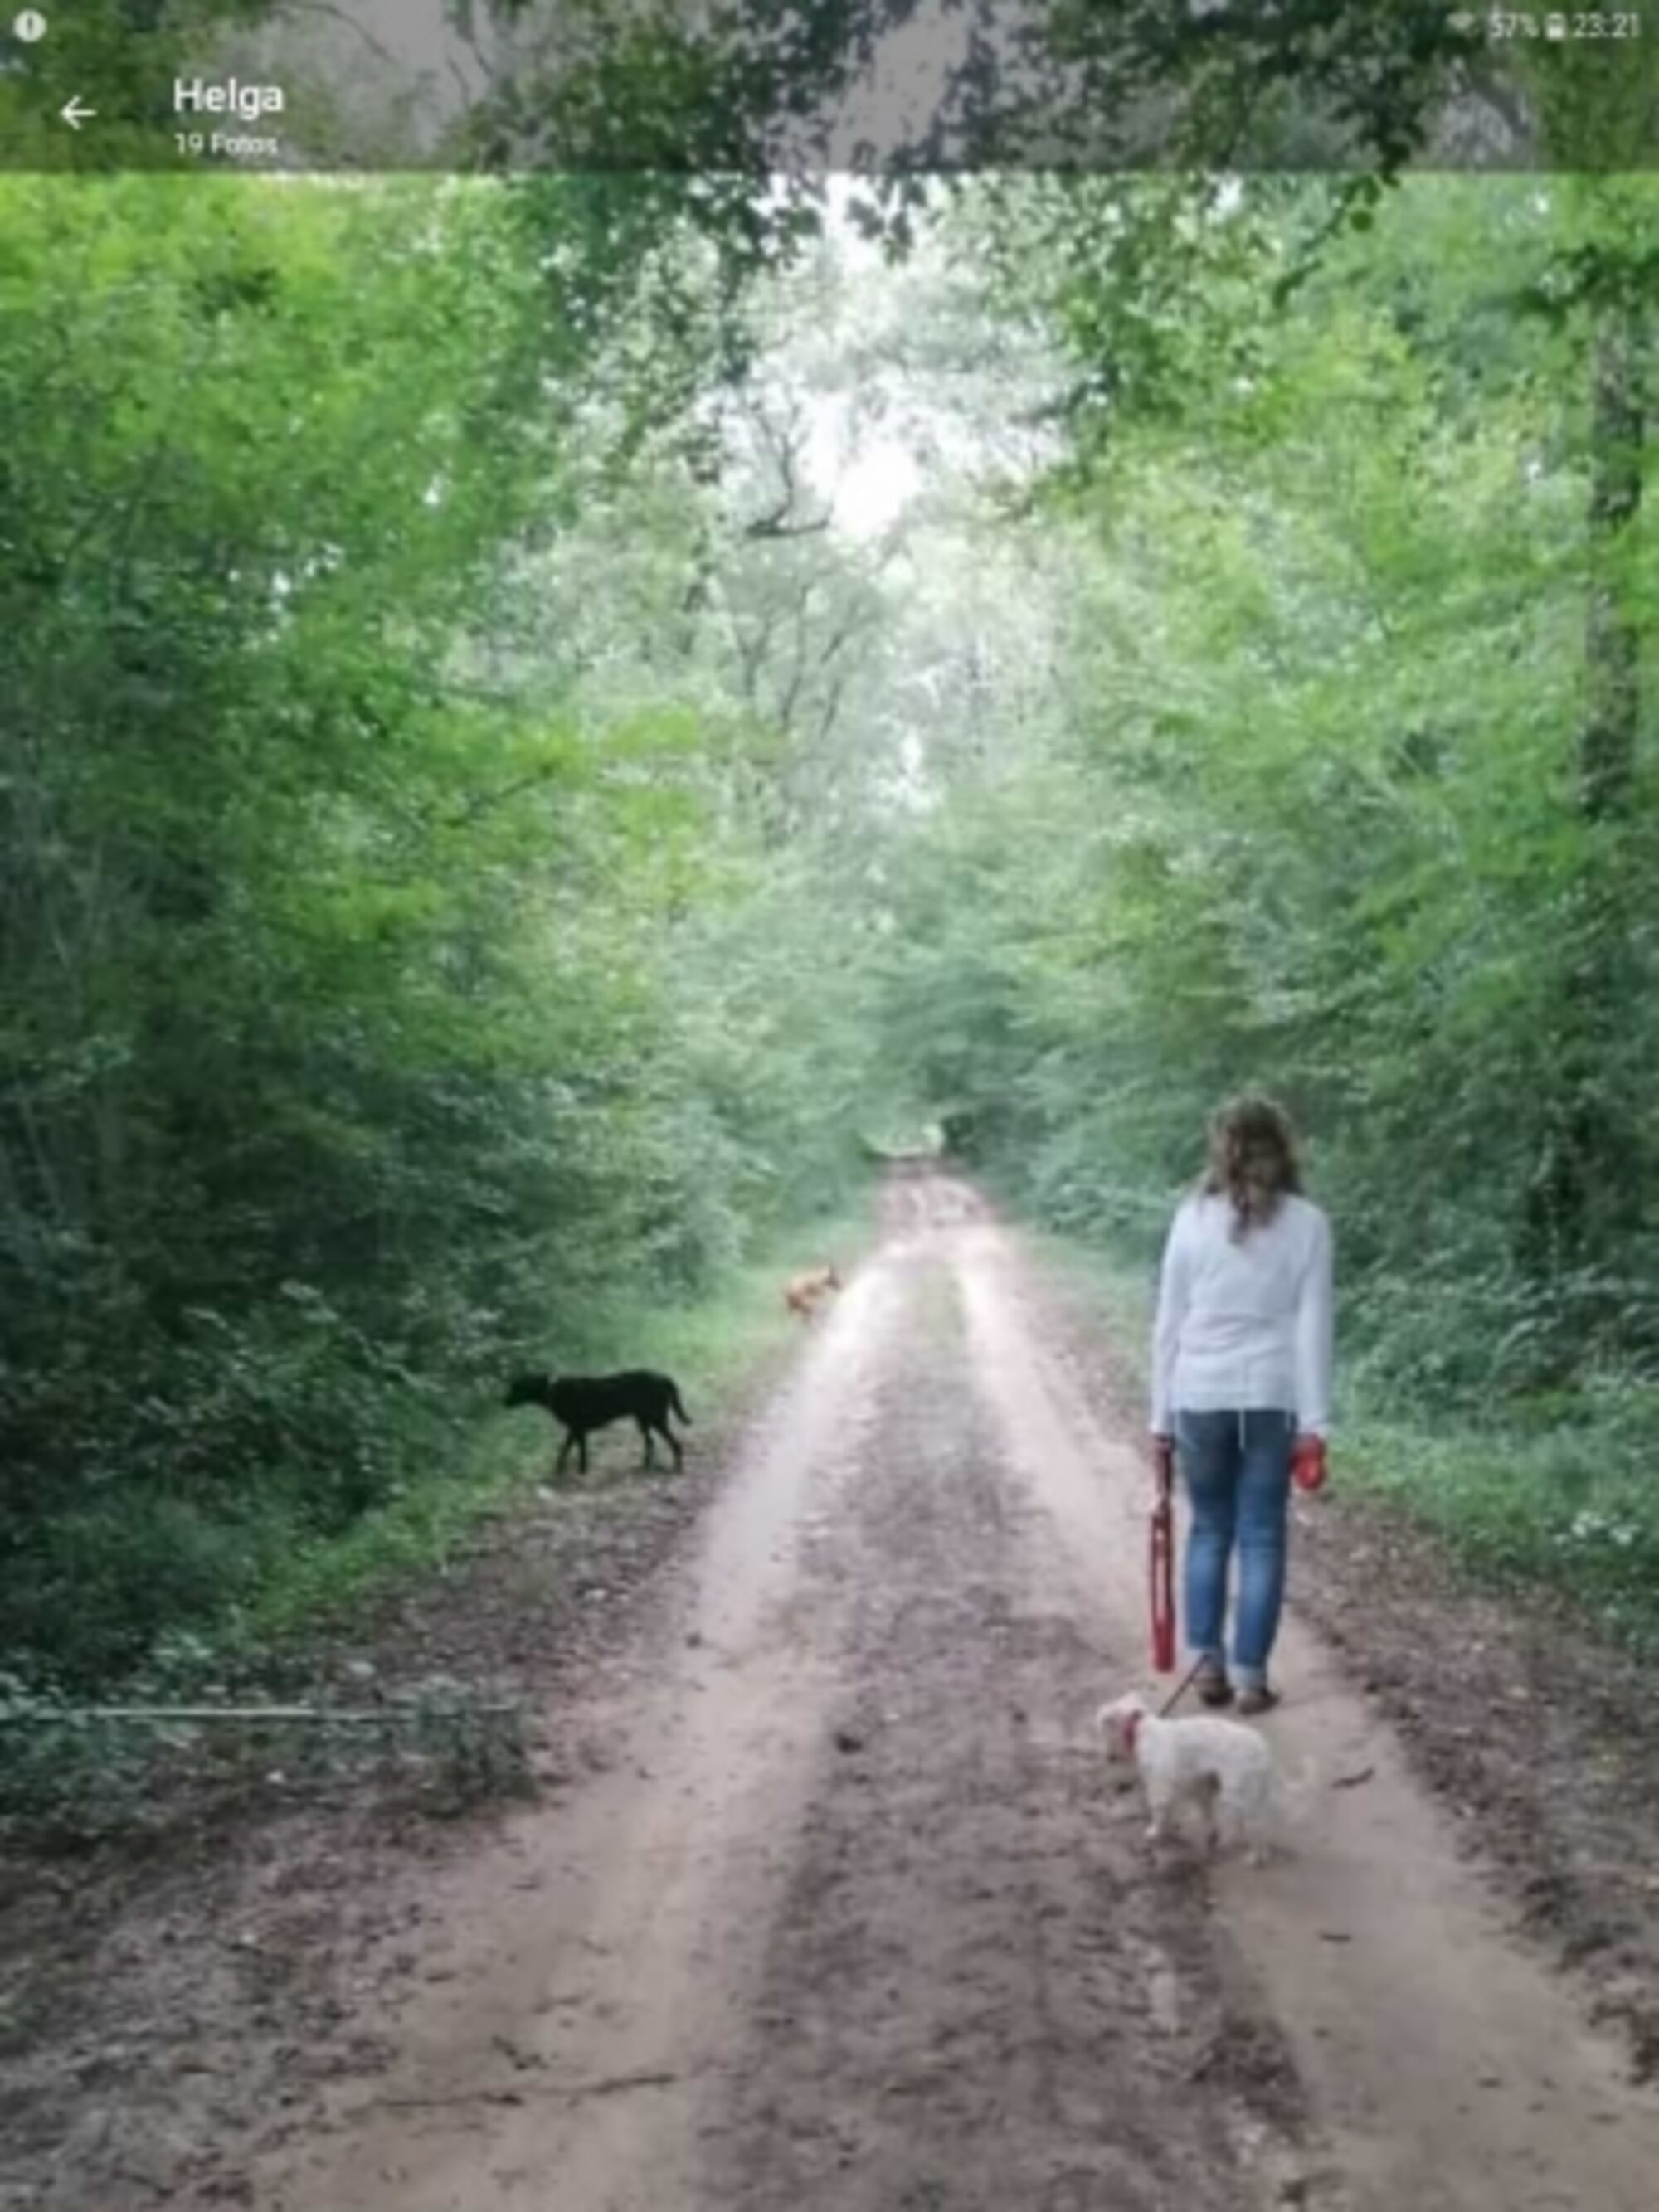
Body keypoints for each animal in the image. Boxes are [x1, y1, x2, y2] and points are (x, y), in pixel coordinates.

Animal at [504, 1370, 690, 1476]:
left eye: (515, 1388)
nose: (502, 1402)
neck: (552, 1390)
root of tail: (664, 1378)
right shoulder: (575, 1429)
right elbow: (569, 1449)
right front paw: (565, 1468)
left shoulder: (577, 1428)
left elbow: (575, 1450)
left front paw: (577, 1471)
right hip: (643, 1420)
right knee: (651, 1442)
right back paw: (645, 1465)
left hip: (656, 1419)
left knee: (676, 1444)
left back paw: (677, 1468)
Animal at [1095, 1691, 1279, 1862]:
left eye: (1104, 1731)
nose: (1109, 1758)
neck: (1139, 1729)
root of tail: (1261, 1749)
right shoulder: (1198, 1785)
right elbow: (1200, 1812)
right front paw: (1208, 1833)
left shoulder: (1159, 1785)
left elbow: (1158, 1810)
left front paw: (1155, 1831)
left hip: (1237, 1792)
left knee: (1255, 1824)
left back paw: (1255, 1855)